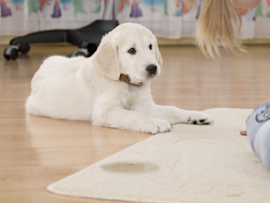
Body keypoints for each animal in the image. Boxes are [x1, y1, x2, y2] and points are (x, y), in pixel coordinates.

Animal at [26, 23, 214, 134]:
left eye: (150, 46)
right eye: (131, 50)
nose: (153, 68)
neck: (128, 83)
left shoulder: (144, 105)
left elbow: (171, 109)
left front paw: (195, 115)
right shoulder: (105, 111)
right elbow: (134, 116)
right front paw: (156, 122)